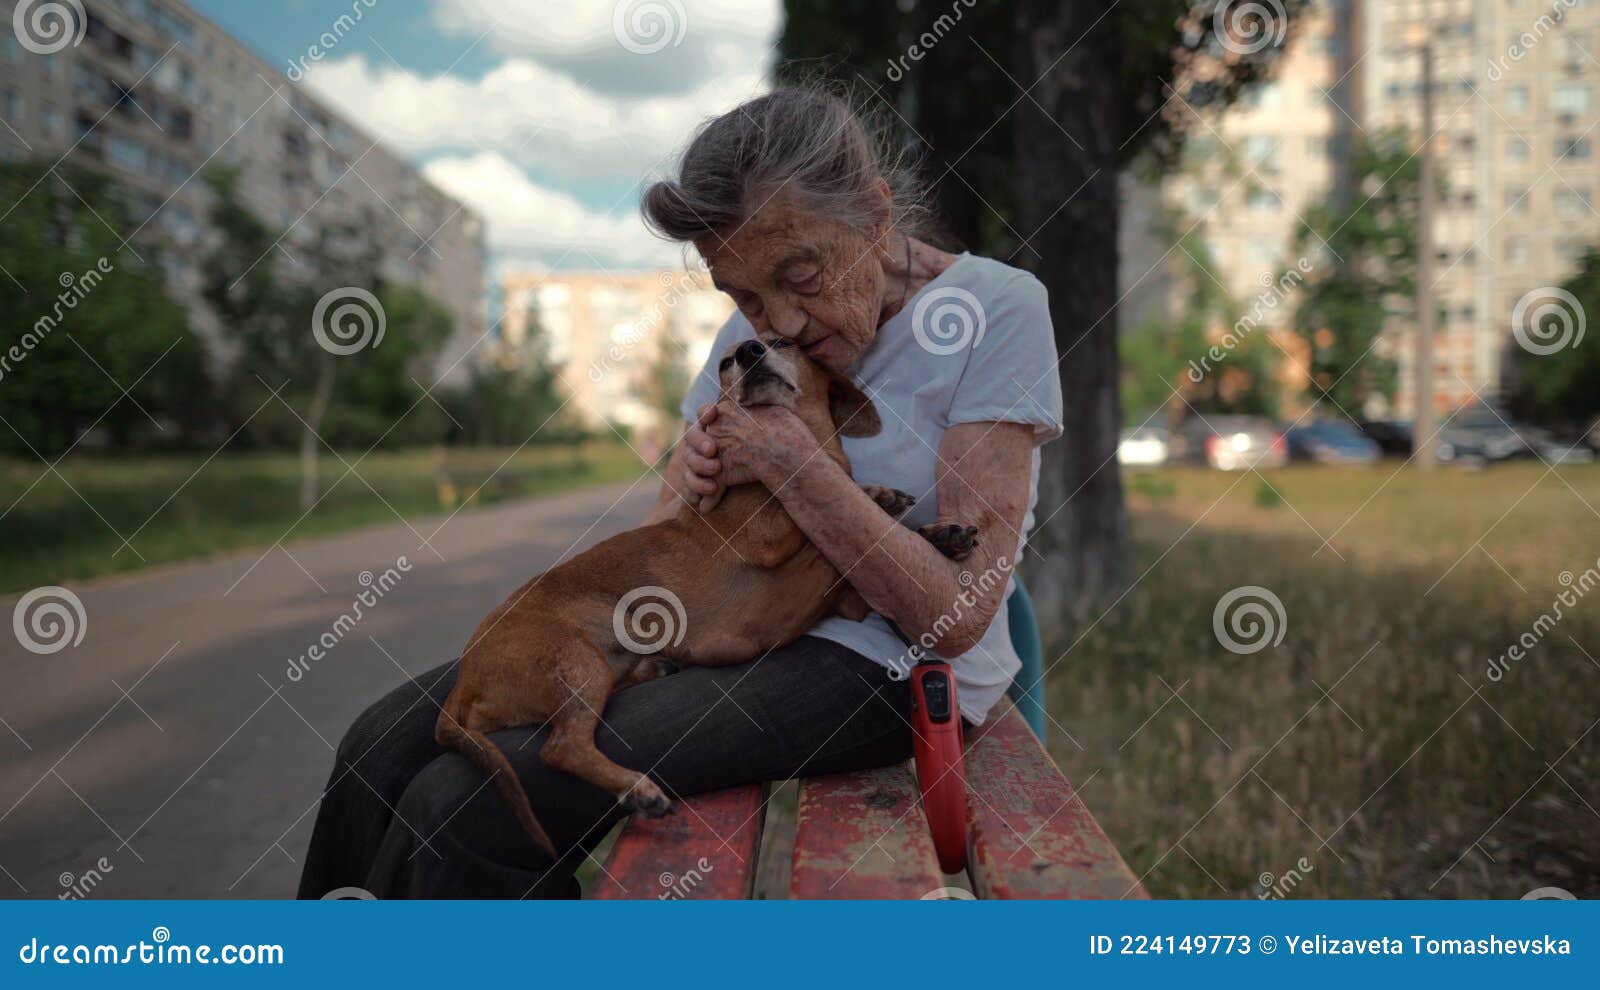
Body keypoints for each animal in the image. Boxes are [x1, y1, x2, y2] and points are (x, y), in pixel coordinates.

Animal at [435, 334, 972, 857]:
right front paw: (881, 497)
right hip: (575, 661)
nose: (751, 351)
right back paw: (637, 788)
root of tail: (462, 683)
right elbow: (830, 511)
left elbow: (859, 547)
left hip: (596, 671)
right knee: (559, 748)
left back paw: (654, 671)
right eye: (724, 363)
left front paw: (937, 531)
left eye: (785, 342)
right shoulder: (770, 533)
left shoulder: (848, 597)